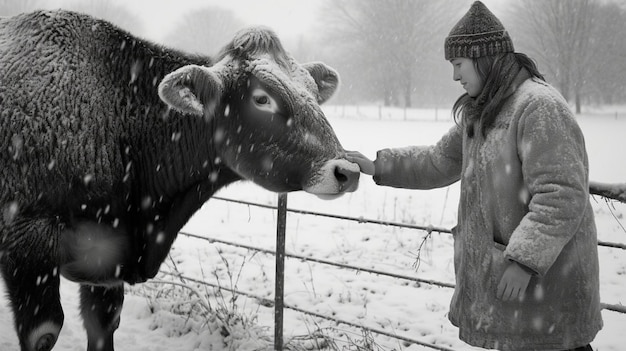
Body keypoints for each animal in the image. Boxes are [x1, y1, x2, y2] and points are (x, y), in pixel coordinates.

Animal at [0, 9, 356, 350]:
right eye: (261, 98)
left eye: (313, 91)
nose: (347, 171)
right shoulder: (27, 244)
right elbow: (44, 332)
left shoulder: (107, 256)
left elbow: (102, 325)